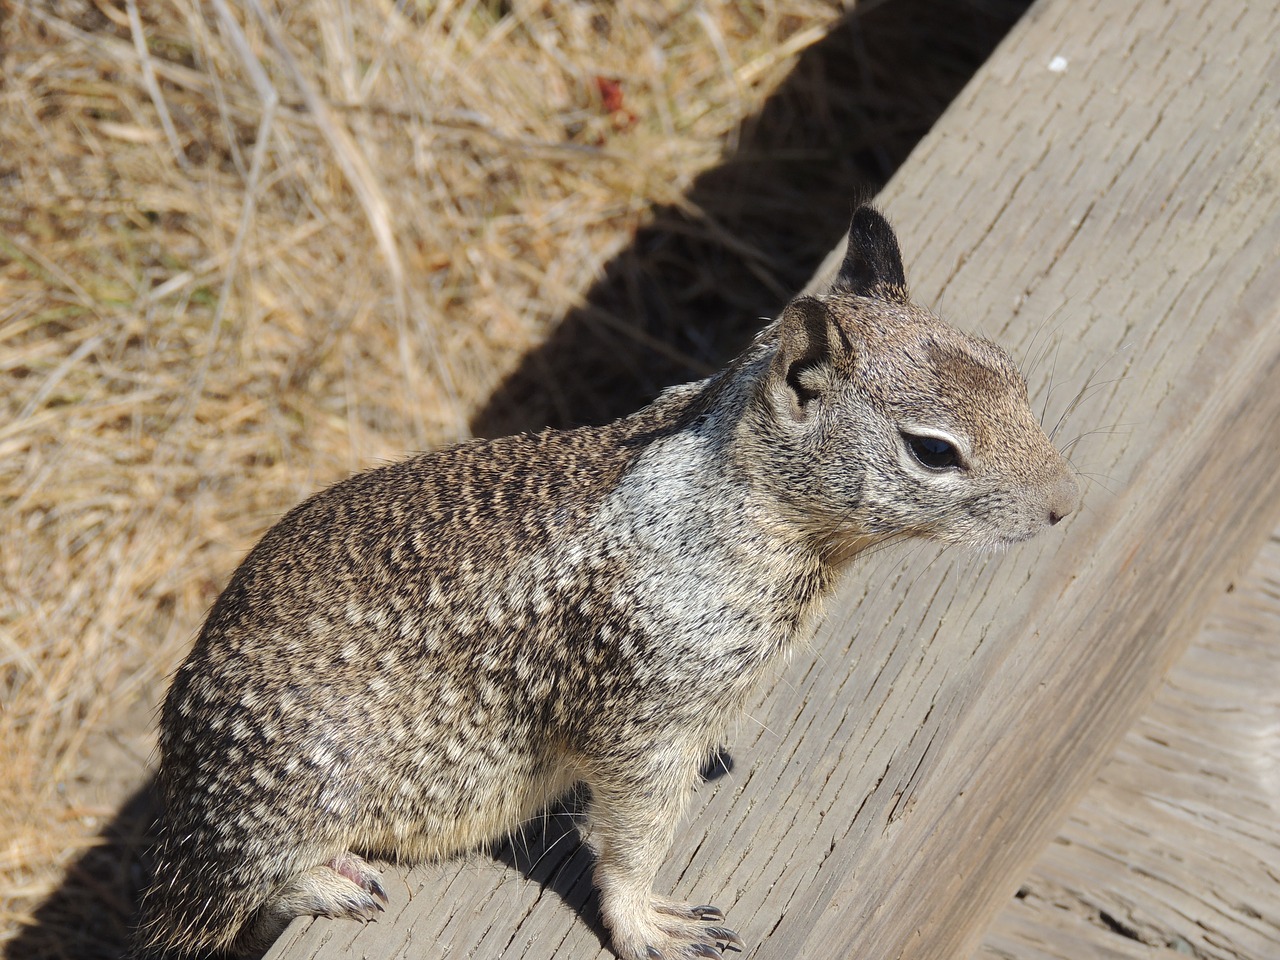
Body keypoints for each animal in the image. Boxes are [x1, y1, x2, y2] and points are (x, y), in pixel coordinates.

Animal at [132, 207, 1080, 960]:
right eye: (933, 450)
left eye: (1014, 373)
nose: (1065, 505)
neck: (739, 502)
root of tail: (179, 777)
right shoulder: (645, 714)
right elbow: (629, 838)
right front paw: (645, 922)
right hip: (281, 800)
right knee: (226, 900)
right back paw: (325, 882)